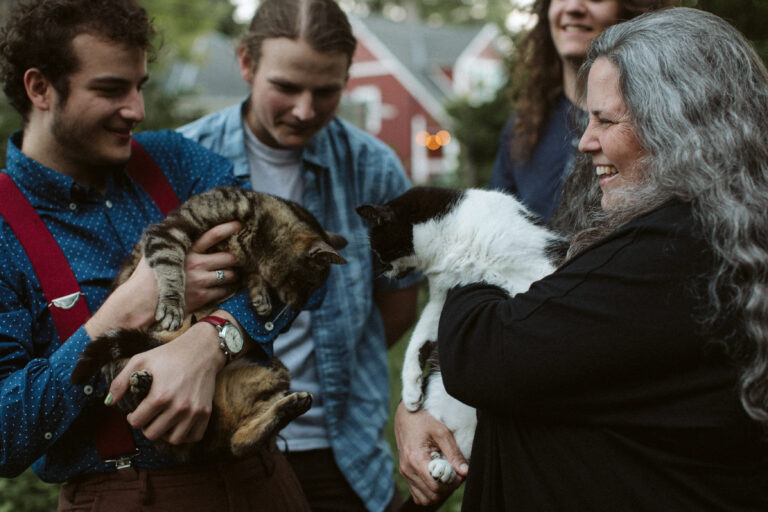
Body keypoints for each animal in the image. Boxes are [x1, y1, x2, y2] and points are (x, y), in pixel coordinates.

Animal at [72, 187, 348, 460]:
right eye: (310, 286)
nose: (300, 305)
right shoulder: (170, 231)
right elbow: (171, 268)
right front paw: (172, 303)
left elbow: (252, 275)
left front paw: (260, 296)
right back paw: (142, 385)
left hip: (274, 372)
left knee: (239, 442)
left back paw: (292, 406)